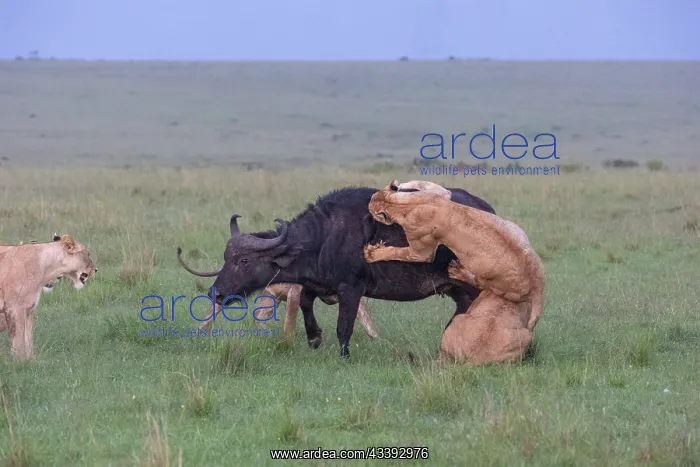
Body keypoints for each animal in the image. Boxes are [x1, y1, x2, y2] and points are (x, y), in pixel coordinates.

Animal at [364, 179, 545, 333]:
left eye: (371, 207)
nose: (368, 203)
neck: (404, 205)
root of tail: (538, 287)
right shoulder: (441, 195)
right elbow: (427, 184)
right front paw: (402, 184)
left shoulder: (421, 251)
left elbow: (398, 252)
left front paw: (372, 253)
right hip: (515, 230)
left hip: (487, 275)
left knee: (478, 282)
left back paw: (458, 271)